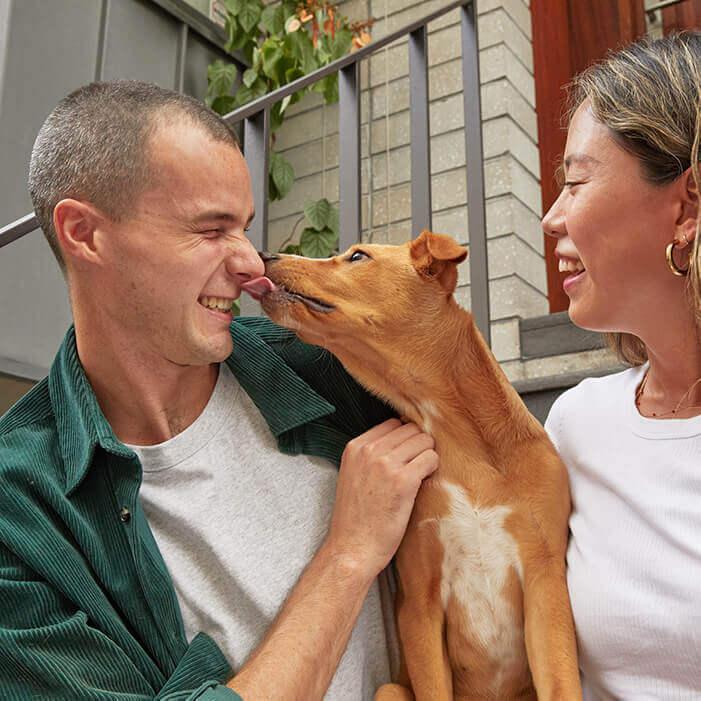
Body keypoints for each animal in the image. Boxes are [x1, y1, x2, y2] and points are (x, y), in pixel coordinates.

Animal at [242, 230, 581, 700]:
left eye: (358, 256)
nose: (264, 254)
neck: (463, 446)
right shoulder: (420, 601)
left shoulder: (545, 585)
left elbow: (562, 684)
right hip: (391, 689)